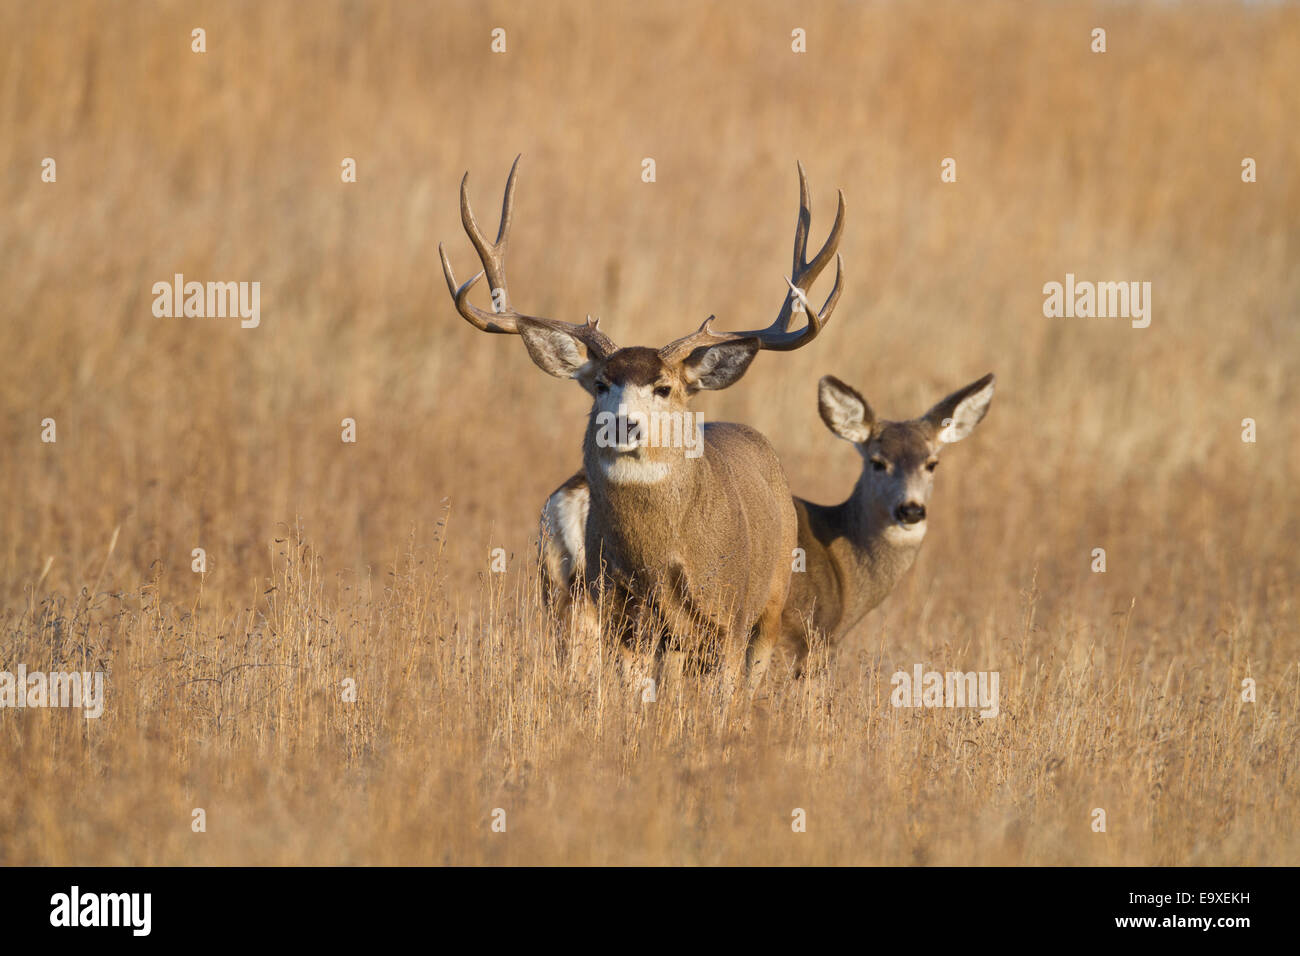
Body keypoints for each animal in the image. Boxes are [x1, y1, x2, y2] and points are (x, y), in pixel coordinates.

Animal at [440, 156, 845, 677]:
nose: (623, 424)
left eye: (665, 387)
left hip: (769, 604)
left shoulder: (732, 623)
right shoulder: (627, 624)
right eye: (599, 384)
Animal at [541, 372, 995, 676]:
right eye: (877, 462)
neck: (846, 568)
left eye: (932, 463)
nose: (910, 510)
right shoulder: (810, 638)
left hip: (563, 595)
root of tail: (573, 493)